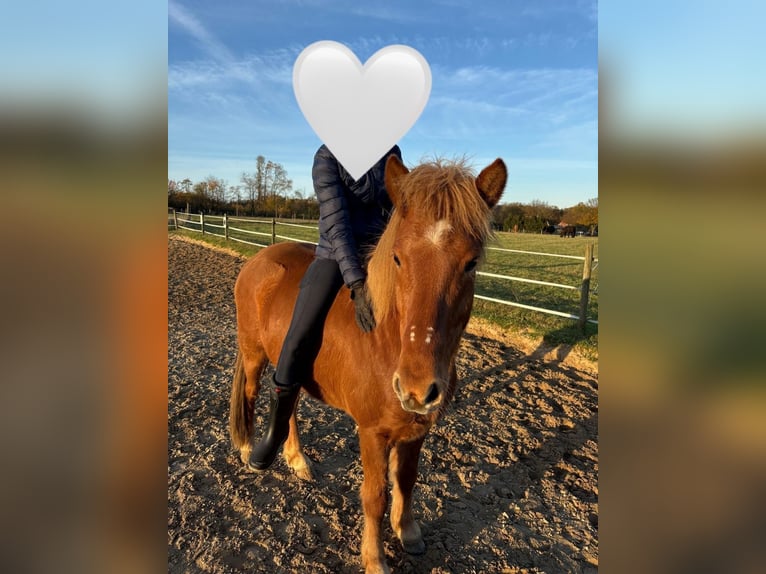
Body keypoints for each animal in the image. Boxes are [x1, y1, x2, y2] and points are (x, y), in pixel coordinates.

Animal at [229, 155, 507, 573]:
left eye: (471, 263)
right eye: (398, 257)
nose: (416, 388)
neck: (387, 342)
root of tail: (260, 259)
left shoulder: (416, 430)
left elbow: (406, 480)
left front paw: (408, 532)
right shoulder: (372, 433)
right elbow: (374, 494)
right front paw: (375, 558)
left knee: (289, 403)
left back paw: (297, 460)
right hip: (253, 355)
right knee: (251, 394)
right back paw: (251, 452)